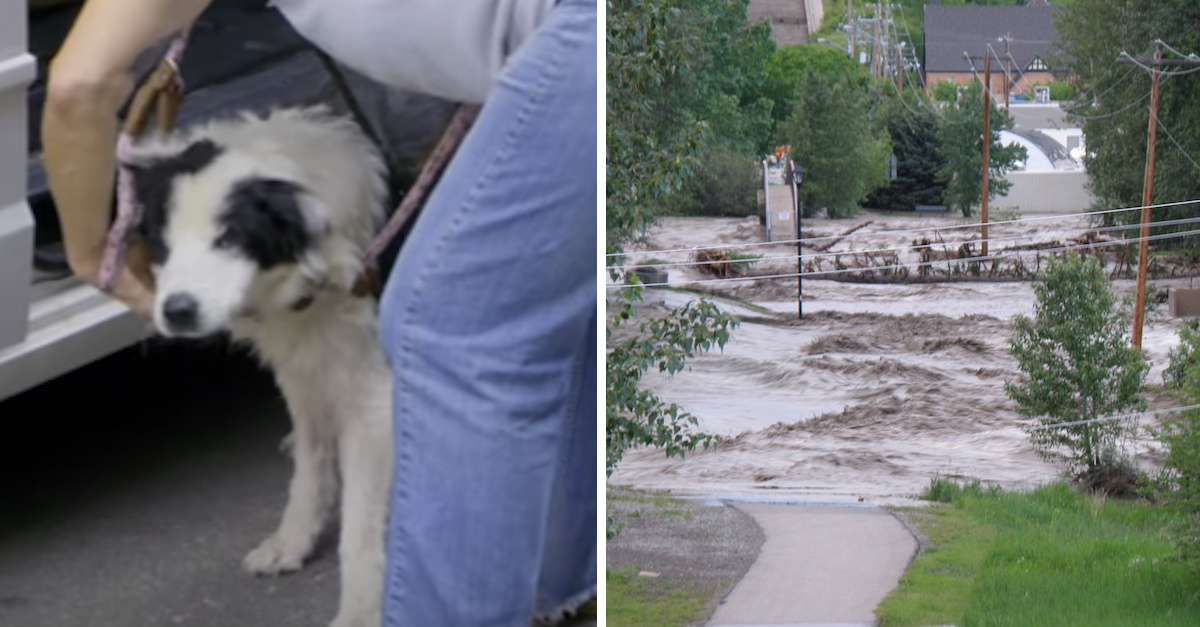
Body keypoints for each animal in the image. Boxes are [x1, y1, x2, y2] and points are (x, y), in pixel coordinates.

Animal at [129, 105, 396, 619]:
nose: (177, 312)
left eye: (229, 239)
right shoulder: (304, 364)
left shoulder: (372, 395)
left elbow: (361, 525)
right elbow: (311, 464)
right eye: (160, 242)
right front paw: (291, 541)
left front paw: (358, 612)